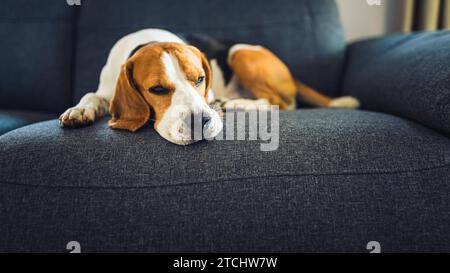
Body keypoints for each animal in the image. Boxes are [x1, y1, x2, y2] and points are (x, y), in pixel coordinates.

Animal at [59, 28, 360, 144]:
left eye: (200, 79)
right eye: (157, 90)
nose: (199, 122)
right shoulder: (106, 87)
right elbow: (91, 95)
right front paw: (78, 110)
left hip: (239, 53)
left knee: (284, 103)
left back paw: (237, 103)